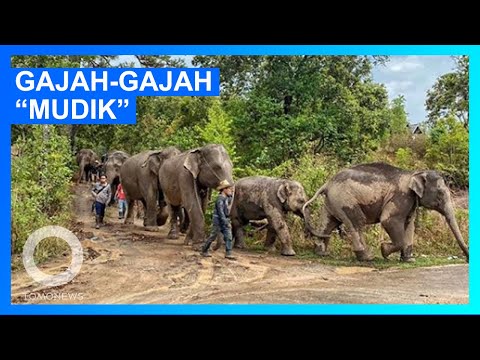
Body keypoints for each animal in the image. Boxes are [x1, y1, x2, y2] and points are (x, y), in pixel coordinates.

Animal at [304, 162, 468, 262]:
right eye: (440, 194)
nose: (467, 259)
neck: (415, 173)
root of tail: (327, 184)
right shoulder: (401, 196)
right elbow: (388, 220)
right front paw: (383, 250)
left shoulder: (410, 201)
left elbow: (409, 224)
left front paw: (409, 260)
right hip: (345, 200)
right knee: (357, 222)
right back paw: (367, 257)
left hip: (332, 202)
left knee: (328, 223)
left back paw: (322, 253)